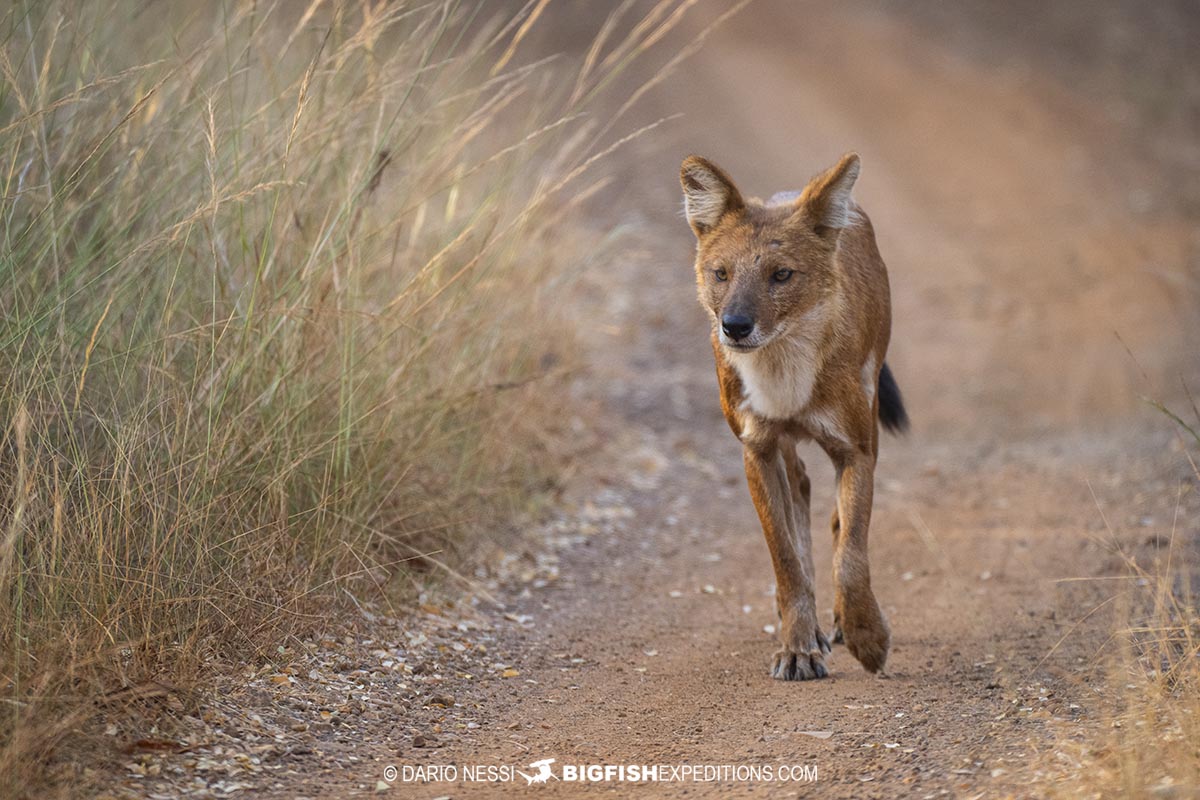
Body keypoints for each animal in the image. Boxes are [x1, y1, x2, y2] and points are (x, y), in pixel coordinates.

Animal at [681, 154, 902, 681]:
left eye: (781, 275)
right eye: (721, 273)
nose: (734, 326)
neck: (783, 374)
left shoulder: (855, 449)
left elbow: (851, 553)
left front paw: (868, 637)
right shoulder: (757, 449)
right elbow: (784, 554)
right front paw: (799, 645)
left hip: (870, 409)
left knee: (835, 521)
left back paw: (837, 624)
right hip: (783, 448)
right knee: (800, 489)